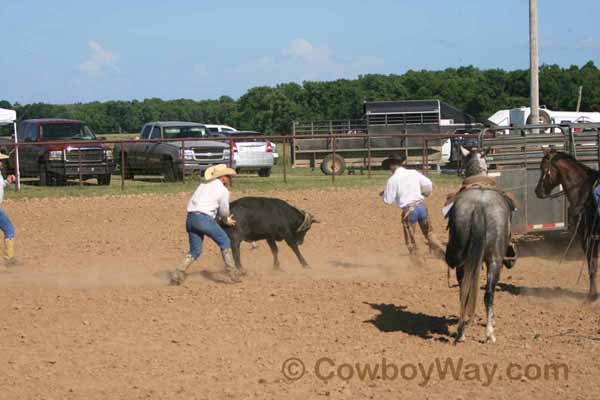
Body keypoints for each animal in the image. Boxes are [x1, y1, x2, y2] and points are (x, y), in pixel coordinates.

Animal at [446, 148, 510, 344]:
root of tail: (480, 206)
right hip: (495, 260)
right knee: (488, 293)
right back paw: (488, 333)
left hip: (464, 260)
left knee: (467, 290)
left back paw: (462, 332)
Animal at [536, 148, 596, 302]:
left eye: (543, 169)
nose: (537, 191)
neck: (584, 191)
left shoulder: (587, 236)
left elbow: (592, 263)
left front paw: (592, 296)